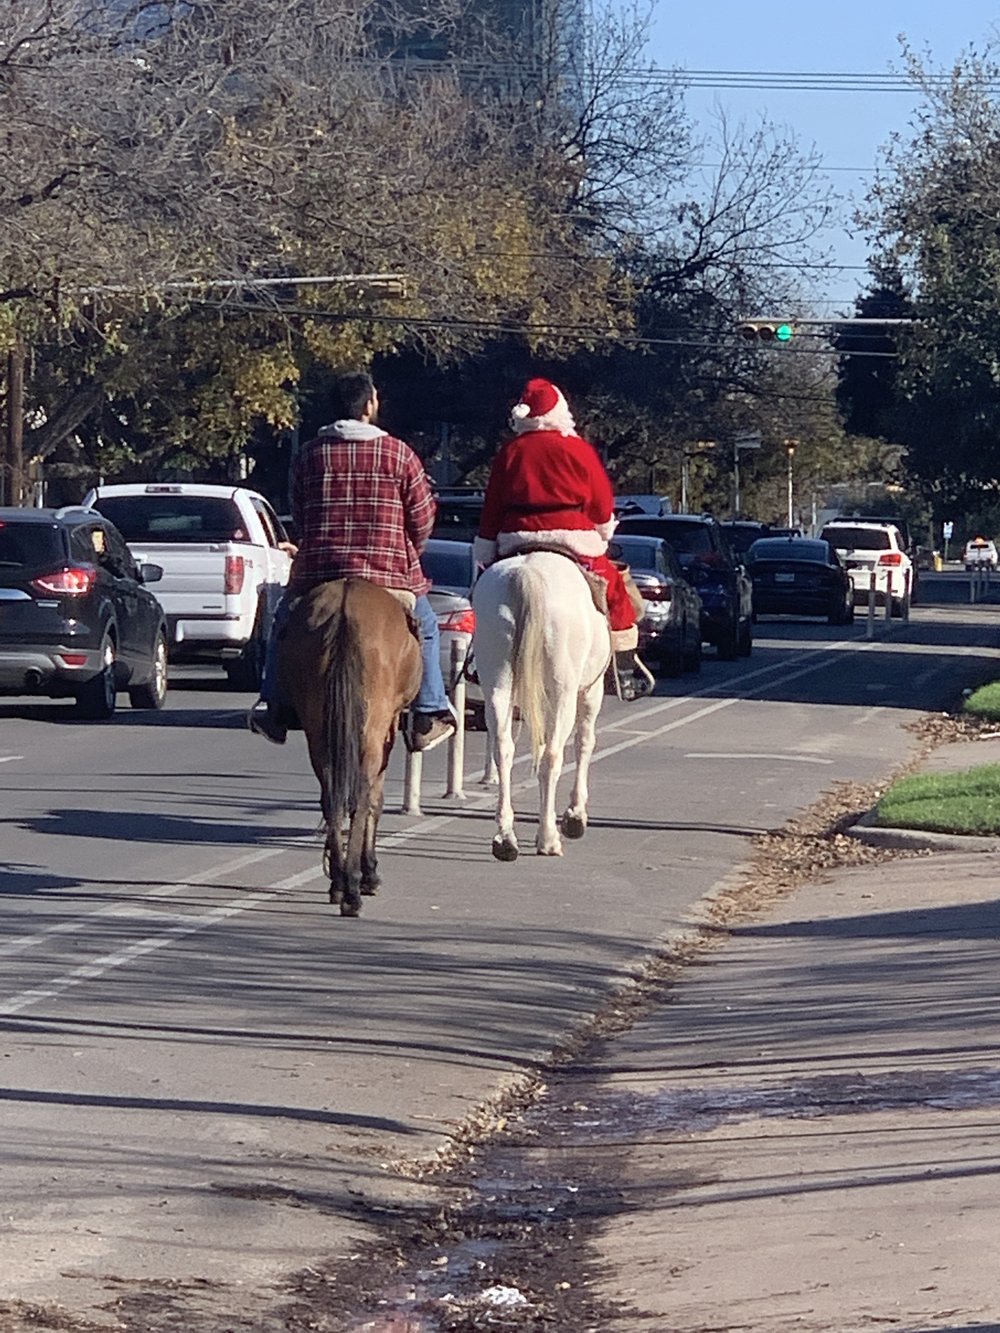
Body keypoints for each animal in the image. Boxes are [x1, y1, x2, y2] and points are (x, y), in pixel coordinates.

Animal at [278, 581, 424, 917]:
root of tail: (345, 610)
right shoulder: (388, 728)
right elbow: (374, 800)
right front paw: (370, 872)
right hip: (373, 728)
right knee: (361, 795)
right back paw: (354, 887)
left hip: (318, 728)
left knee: (331, 797)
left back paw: (338, 882)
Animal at [472, 554, 610, 858]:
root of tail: (527, 574)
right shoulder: (591, 691)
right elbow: (584, 742)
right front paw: (575, 815)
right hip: (563, 692)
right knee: (552, 757)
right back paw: (548, 837)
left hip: (498, 684)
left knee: (503, 749)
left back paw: (505, 839)